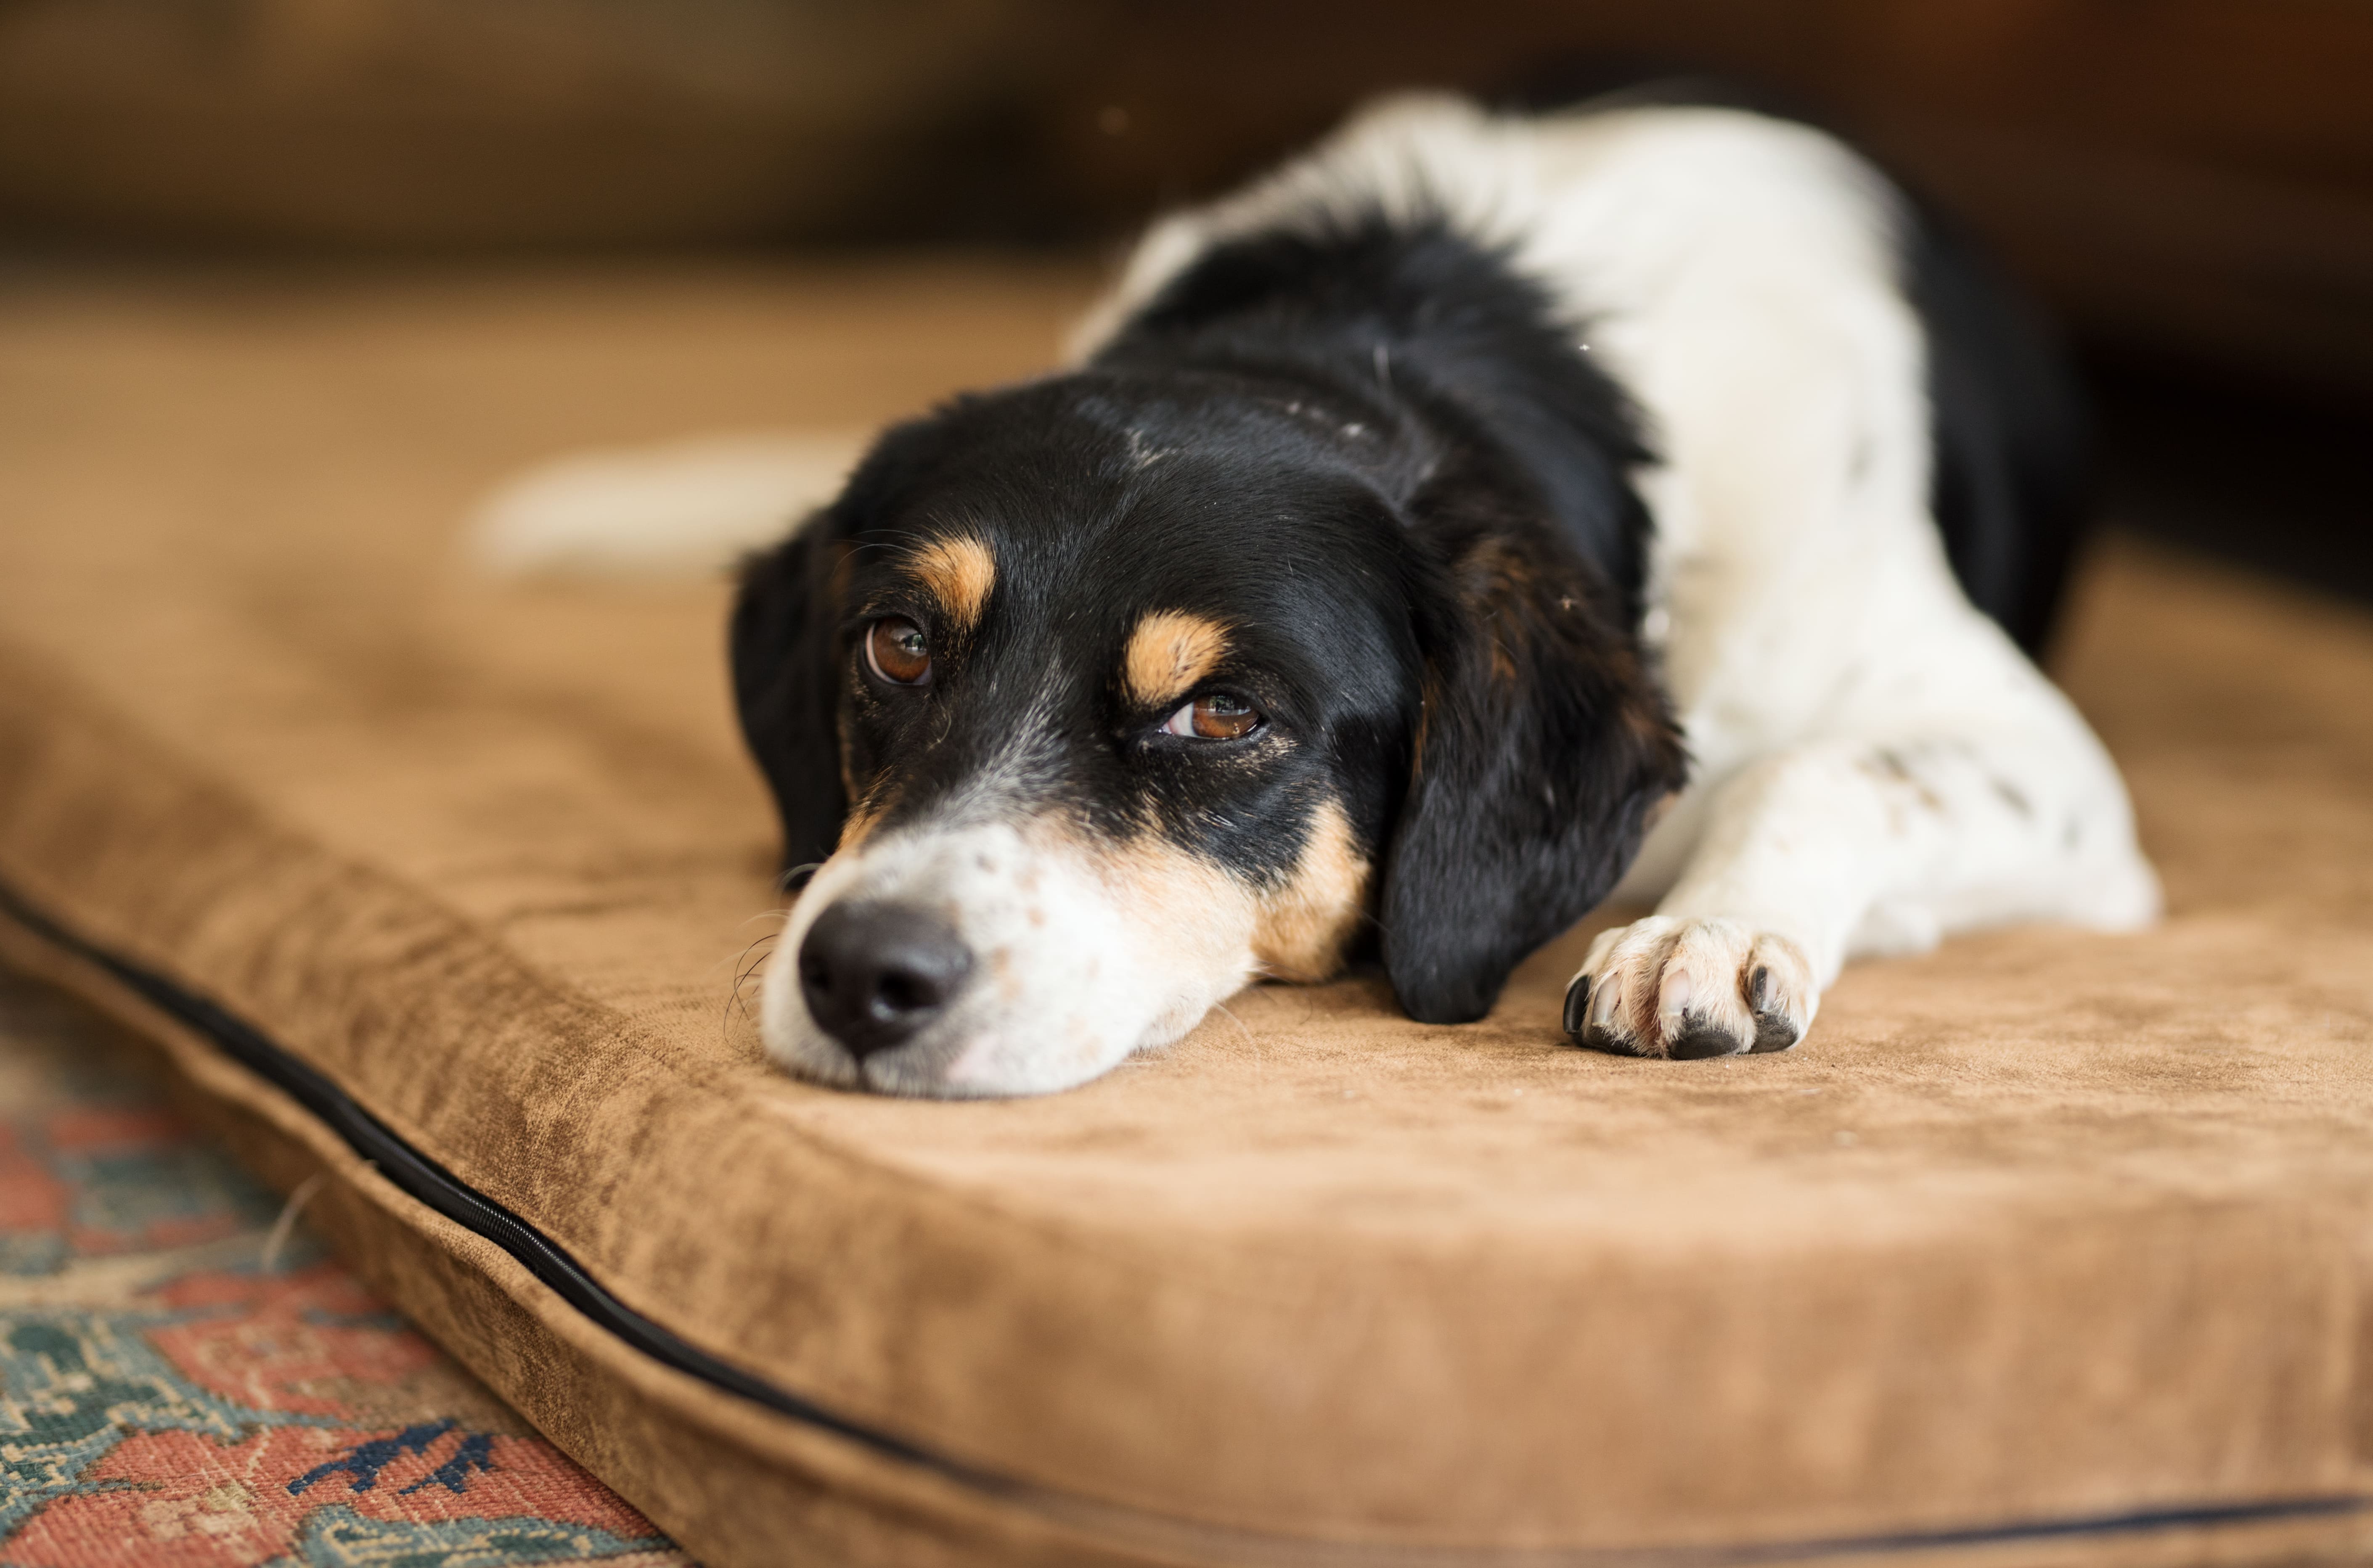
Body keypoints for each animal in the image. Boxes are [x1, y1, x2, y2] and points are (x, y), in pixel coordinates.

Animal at [501, 95, 2174, 1086]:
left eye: (1224, 714)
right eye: (900, 646)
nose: (861, 973)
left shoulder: (2051, 773)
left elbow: (1817, 768)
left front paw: (1702, 932)